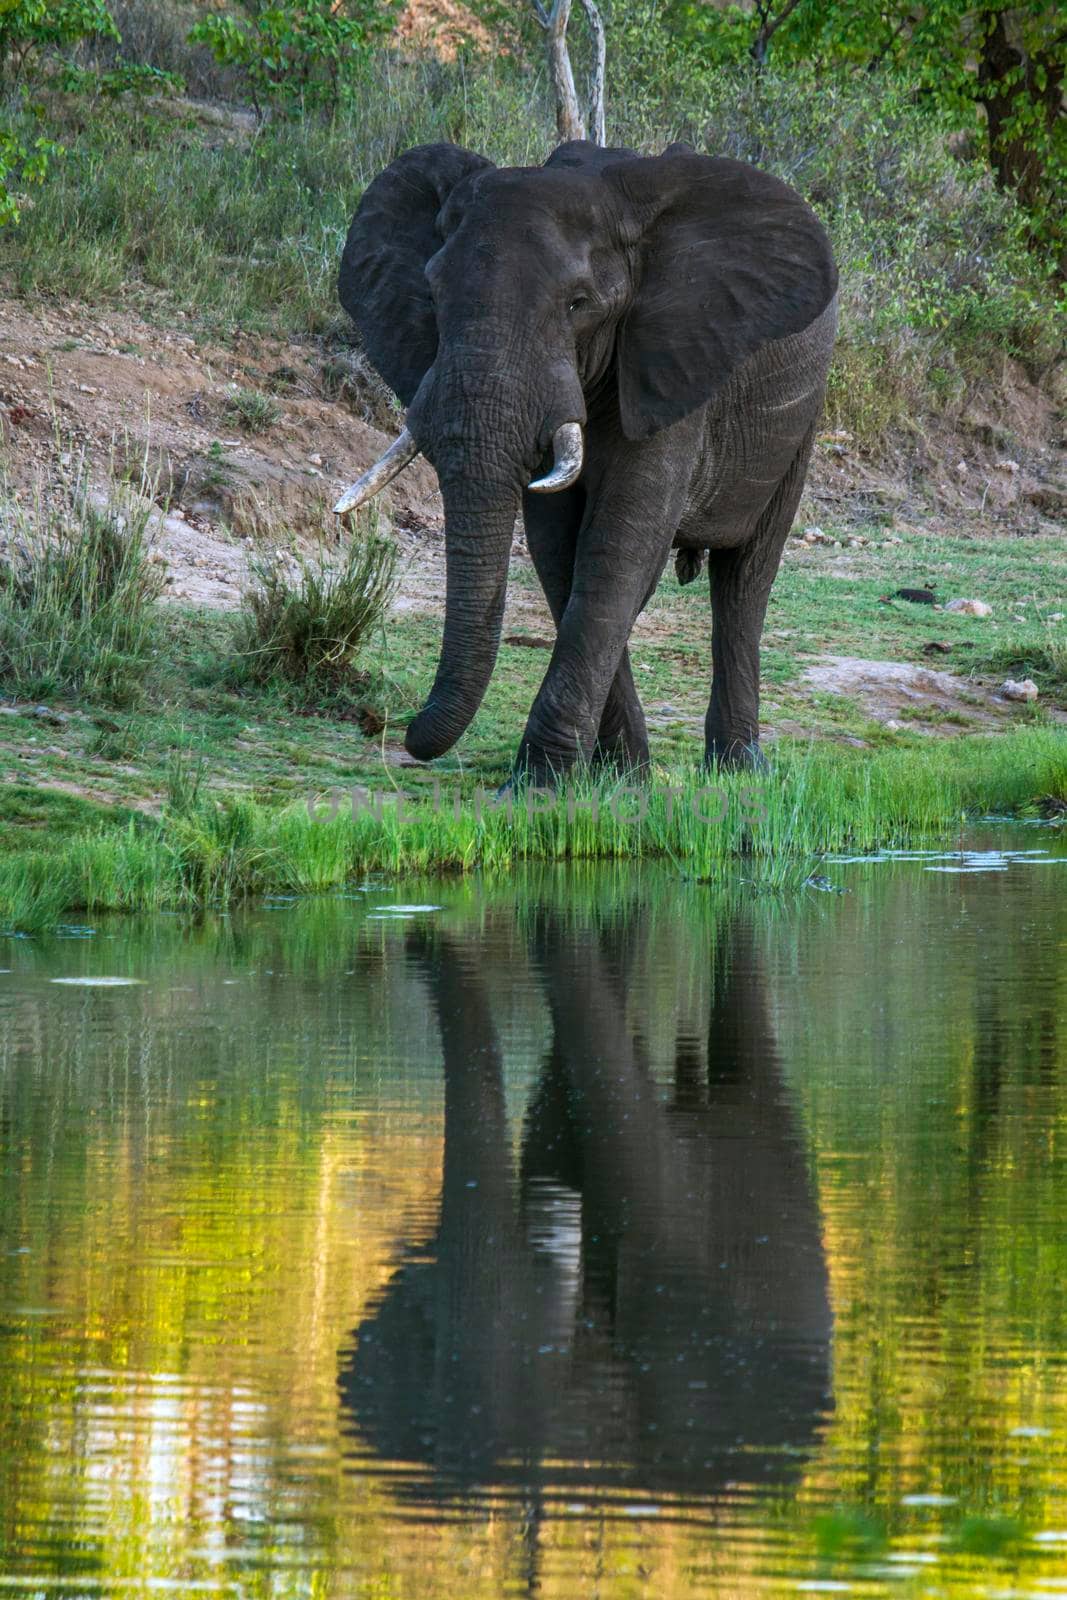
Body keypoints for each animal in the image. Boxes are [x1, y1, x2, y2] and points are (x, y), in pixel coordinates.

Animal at [337, 140, 838, 777]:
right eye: (431, 295)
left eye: (579, 305)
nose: (401, 733)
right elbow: (559, 551)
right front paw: (620, 778)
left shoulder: (669, 359)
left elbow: (618, 548)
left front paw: (538, 783)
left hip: (803, 415)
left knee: (746, 579)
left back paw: (740, 771)